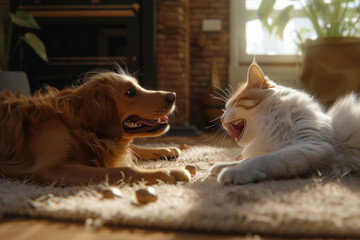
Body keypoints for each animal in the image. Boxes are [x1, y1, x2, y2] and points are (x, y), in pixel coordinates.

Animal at [0, 71, 191, 186]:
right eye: (130, 92)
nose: (173, 96)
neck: (78, 127)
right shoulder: (50, 168)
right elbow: (122, 170)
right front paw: (168, 172)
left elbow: (132, 149)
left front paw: (165, 150)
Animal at [210, 62, 360, 185]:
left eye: (234, 104)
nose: (221, 118)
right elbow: (245, 159)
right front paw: (222, 165)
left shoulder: (312, 145)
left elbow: (262, 159)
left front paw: (234, 172)